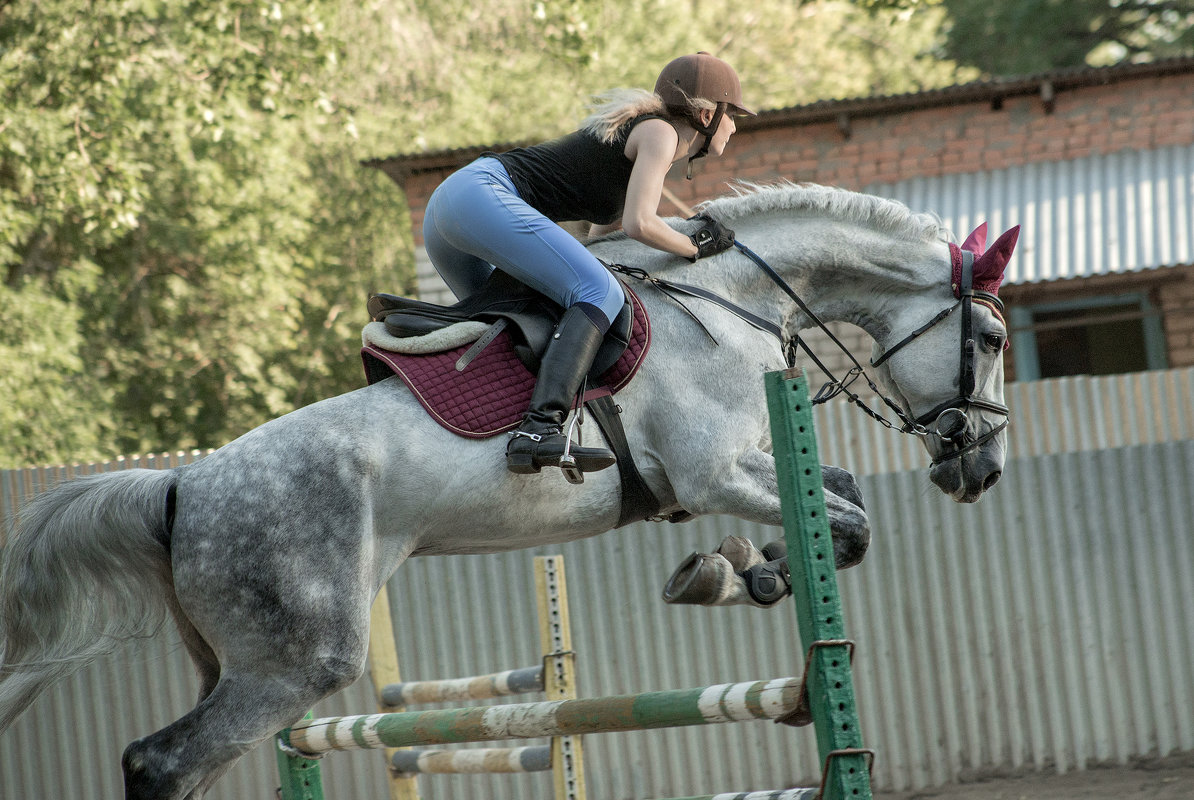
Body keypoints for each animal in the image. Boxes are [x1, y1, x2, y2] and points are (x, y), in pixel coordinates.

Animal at [0, 185, 1017, 797]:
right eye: (996, 338)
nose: (982, 470)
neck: (733, 301)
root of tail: (182, 484)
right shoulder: (714, 470)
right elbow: (847, 519)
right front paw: (746, 572)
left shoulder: (744, 466)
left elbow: (838, 503)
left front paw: (750, 571)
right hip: (295, 663)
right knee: (160, 761)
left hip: (246, 660)